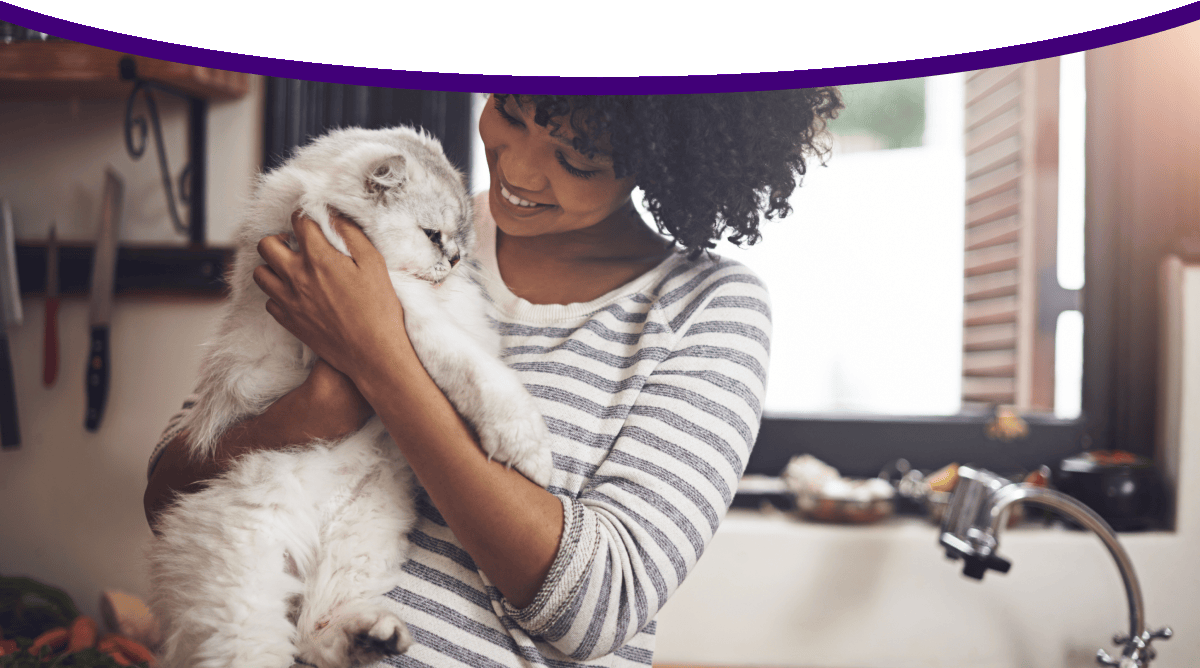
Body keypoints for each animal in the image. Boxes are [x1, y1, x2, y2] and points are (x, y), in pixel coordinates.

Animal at [145, 124, 552, 666]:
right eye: (433, 235)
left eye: (462, 239)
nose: (455, 259)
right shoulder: (405, 311)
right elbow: (477, 371)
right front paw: (529, 451)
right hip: (245, 581)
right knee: (272, 642)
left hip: (363, 535)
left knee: (315, 631)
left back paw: (373, 636)